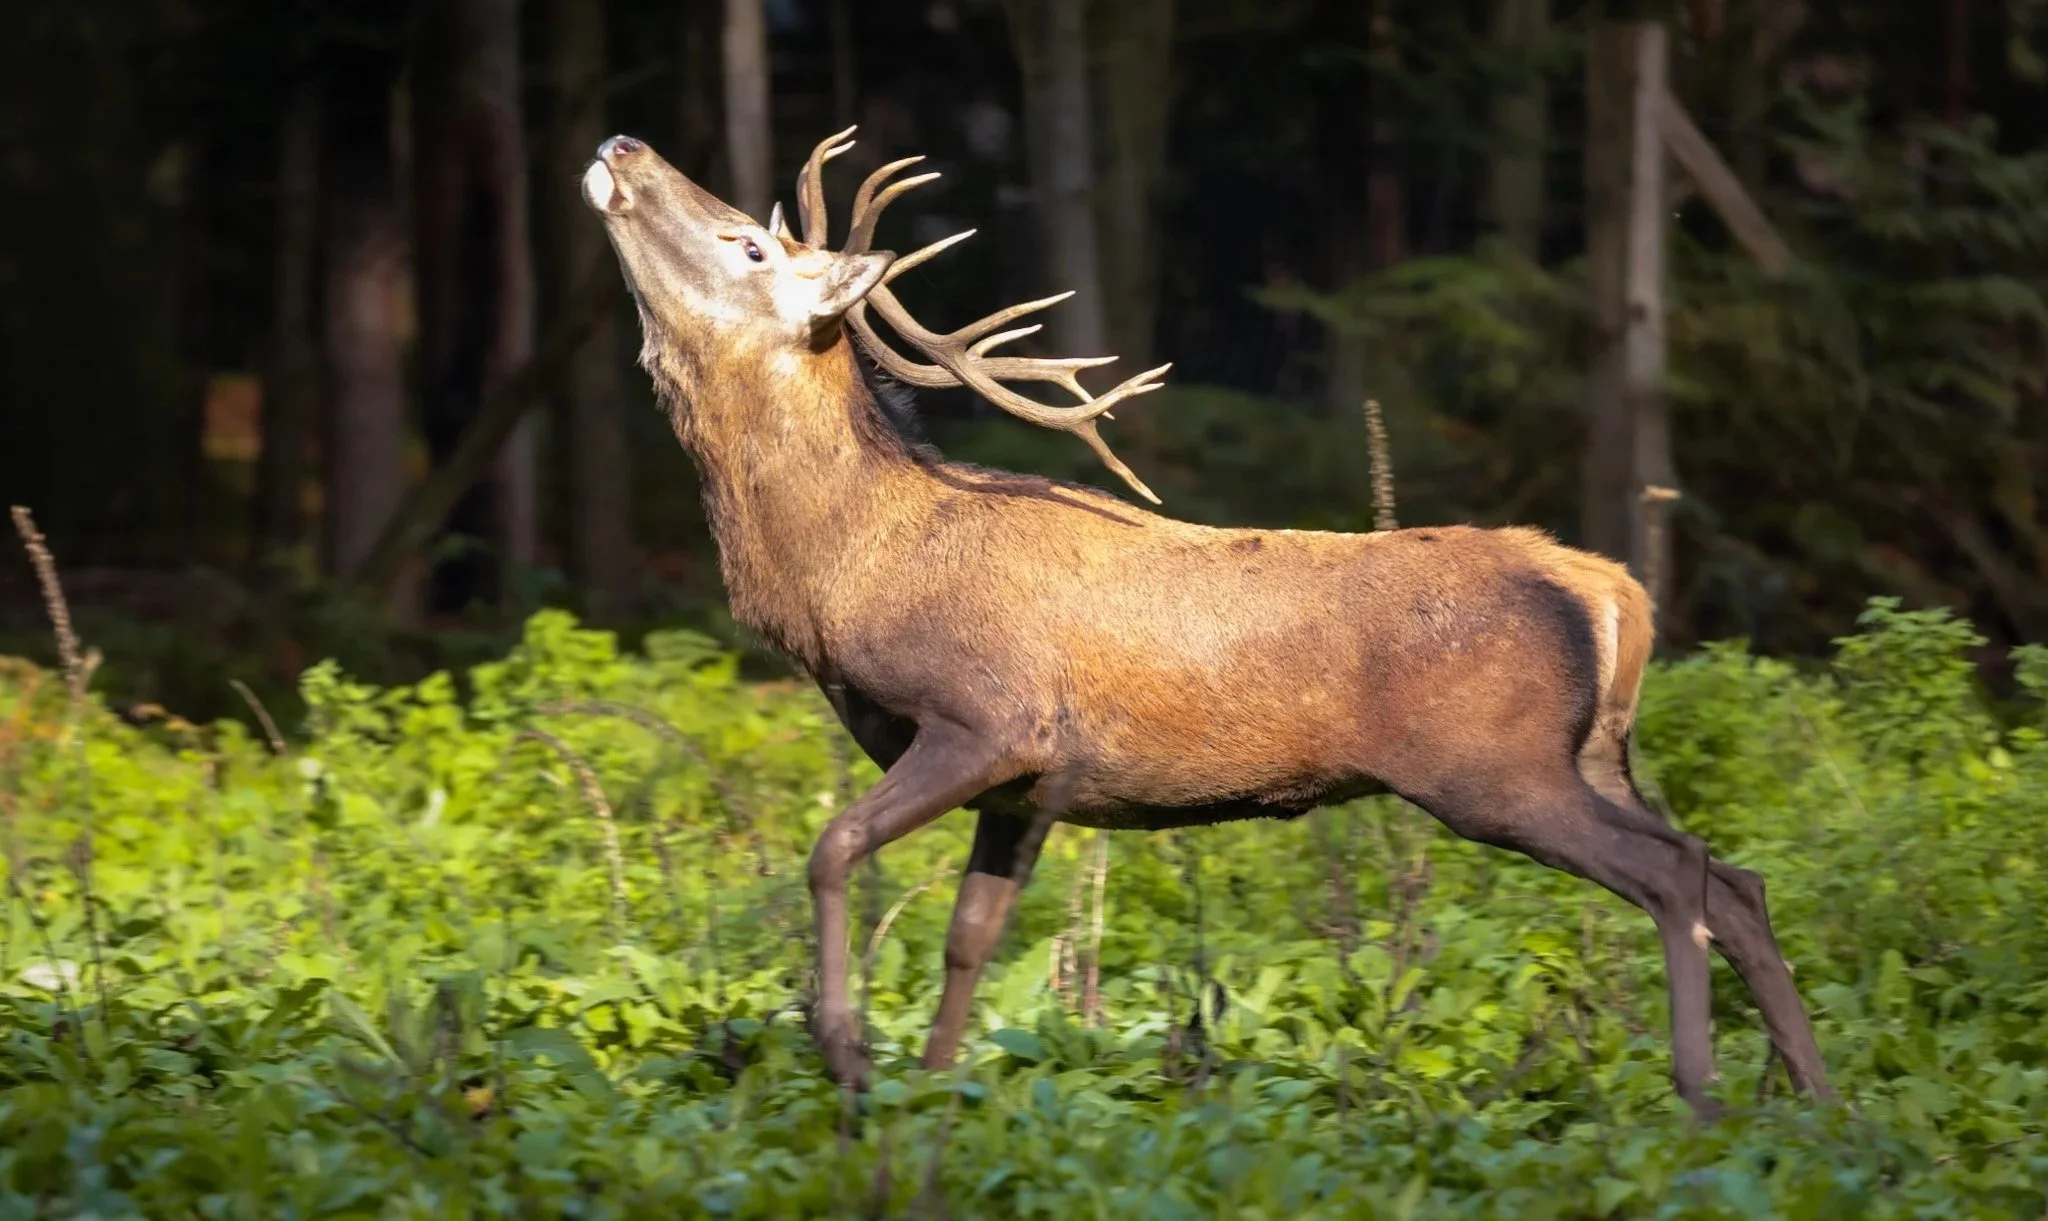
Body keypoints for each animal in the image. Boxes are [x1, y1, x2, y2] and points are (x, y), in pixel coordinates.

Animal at [580, 126, 1836, 1118]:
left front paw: (845, 1054)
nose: (623, 145)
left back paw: (1700, 1095)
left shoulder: (990, 719)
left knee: (1674, 877)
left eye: (748, 244)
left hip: (1496, 767)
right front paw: (932, 1093)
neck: (846, 575)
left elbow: (833, 846)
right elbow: (970, 936)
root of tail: (1608, 589)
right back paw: (1818, 1100)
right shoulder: (1028, 787)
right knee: (1732, 878)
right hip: (1594, 756)